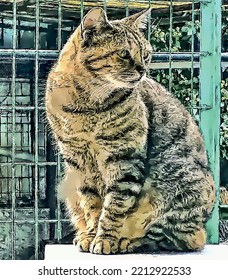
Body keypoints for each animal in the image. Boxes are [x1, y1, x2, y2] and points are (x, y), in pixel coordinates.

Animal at [45, 8, 216, 254]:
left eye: (146, 55)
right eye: (124, 54)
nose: (143, 70)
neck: (87, 105)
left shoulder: (124, 158)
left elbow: (114, 205)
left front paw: (105, 239)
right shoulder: (78, 161)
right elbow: (91, 203)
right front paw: (91, 235)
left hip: (183, 188)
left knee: (165, 237)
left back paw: (125, 241)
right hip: (68, 185)